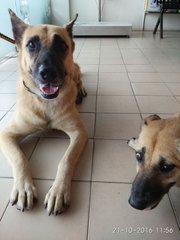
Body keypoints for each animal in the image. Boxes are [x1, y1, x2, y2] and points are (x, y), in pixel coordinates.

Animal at [0, 9, 88, 216]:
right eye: (31, 44)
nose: (48, 72)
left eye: (61, 45)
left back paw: (80, 91)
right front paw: (23, 188)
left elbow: (66, 161)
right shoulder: (6, 134)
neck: (44, 102)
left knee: (78, 79)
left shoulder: (79, 133)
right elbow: (20, 159)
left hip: (75, 71)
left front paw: (58, 191)